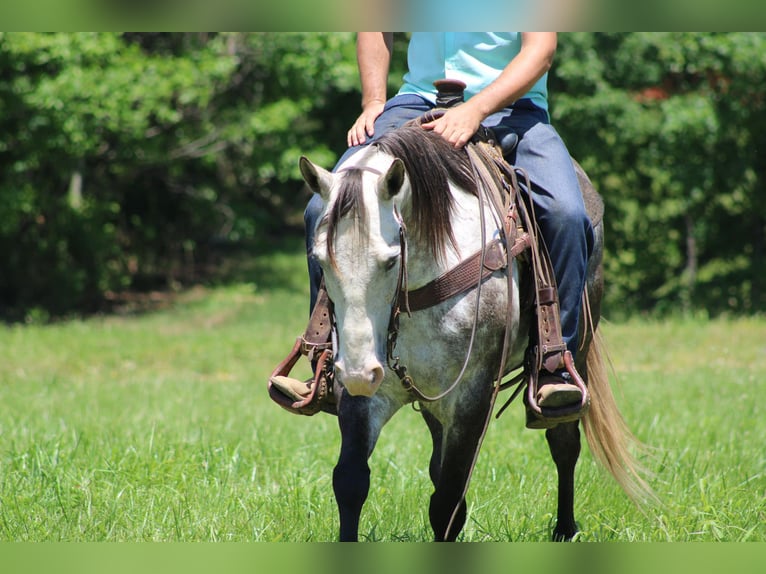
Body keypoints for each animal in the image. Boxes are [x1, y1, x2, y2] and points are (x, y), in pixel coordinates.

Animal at [296, 122, 652, 544]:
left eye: (391, 260)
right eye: (319, 259)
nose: (357, 372)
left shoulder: (472, 395)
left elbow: (448, 501)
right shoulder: (366, 393)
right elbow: (351, 482)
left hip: (575, 354)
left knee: (564, 443)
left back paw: (565, 529)